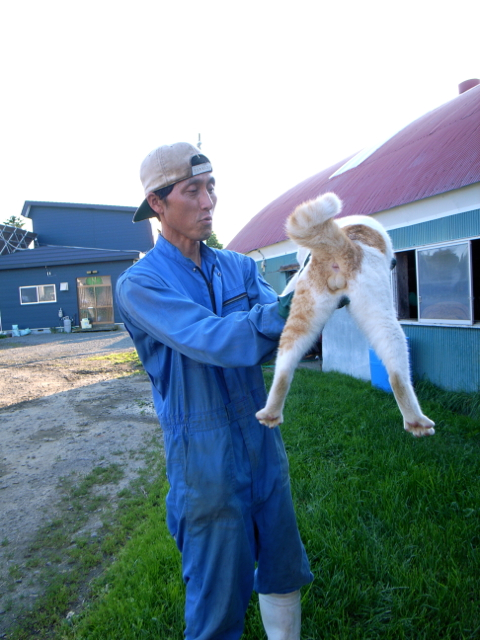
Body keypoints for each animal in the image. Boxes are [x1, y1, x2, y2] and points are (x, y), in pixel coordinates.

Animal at [255, 193, 435, 437]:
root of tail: (344, 245)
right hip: (382, 313)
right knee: (398, 373)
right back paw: (417, 421)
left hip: (304, 316)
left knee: (284, 367)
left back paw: (270, 413)